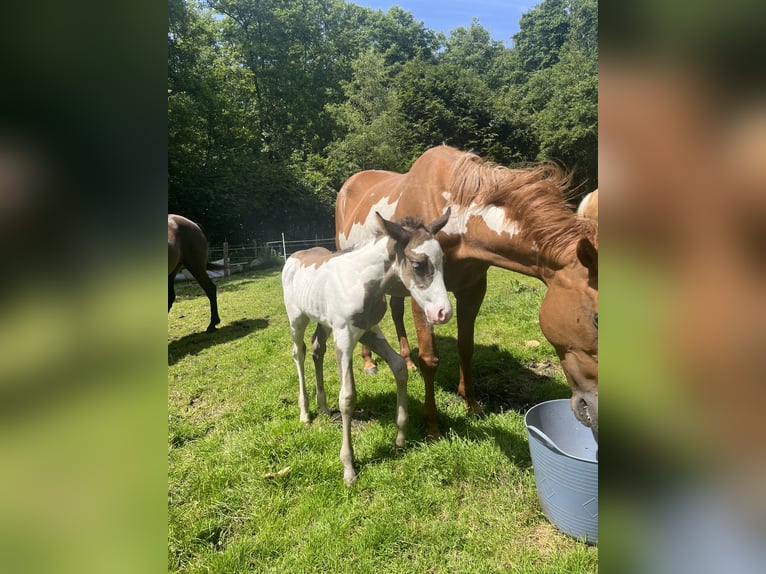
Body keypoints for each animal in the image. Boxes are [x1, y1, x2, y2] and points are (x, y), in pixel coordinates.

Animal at [282, 209, 452, 484]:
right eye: (417, 264)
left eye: (443, 261)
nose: (443, 313)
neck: (362, 281)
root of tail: (294, 256)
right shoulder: (345, 337)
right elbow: (347, 397)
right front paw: (348, 467)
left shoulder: (369, 331)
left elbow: (399, 367)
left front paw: (400, 438)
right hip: (297, 318)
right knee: (299, 352)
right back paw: (305, 412)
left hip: (325, 322)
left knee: (318, 348)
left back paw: (323, 407)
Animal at [338, 145, 600, 440]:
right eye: (597, 319)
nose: (597, 413)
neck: (457, 222)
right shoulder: (425, 296)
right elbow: (430, 359)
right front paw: (432, 426)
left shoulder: (472, 290)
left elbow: (466, 347)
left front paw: (471, 405)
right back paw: (368, 363)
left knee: (395, 311)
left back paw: (407, 362)